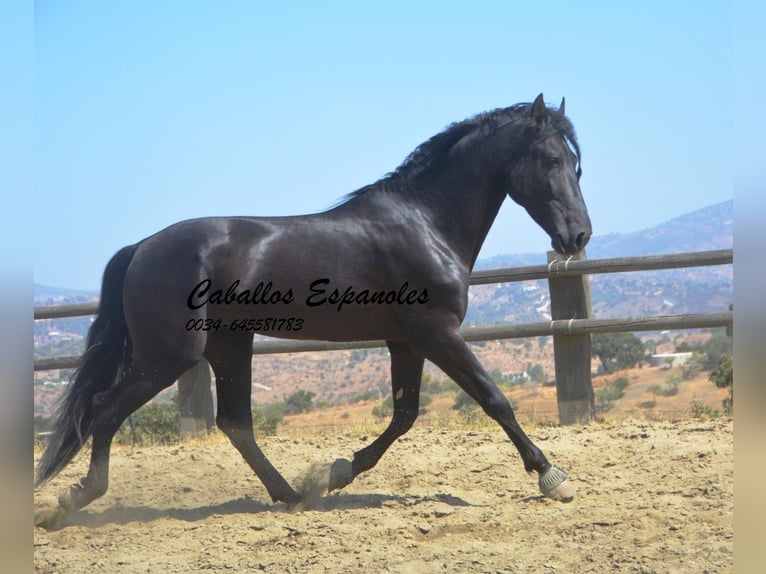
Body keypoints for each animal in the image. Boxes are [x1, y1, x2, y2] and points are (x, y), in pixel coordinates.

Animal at [36, 95, 592, 520]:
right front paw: (552, 476)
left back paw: (291, 495)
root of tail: (141, 248)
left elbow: (404, 415)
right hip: (170, 355)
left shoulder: (406, 339)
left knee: (235, 423)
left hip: (229, 346)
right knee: (105, 409)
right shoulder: (436, 332)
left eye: (575, 162)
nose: (578, 236)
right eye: (551, 160)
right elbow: (494, 399)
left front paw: (334, 473)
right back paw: (73, 500)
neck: (425, 223)